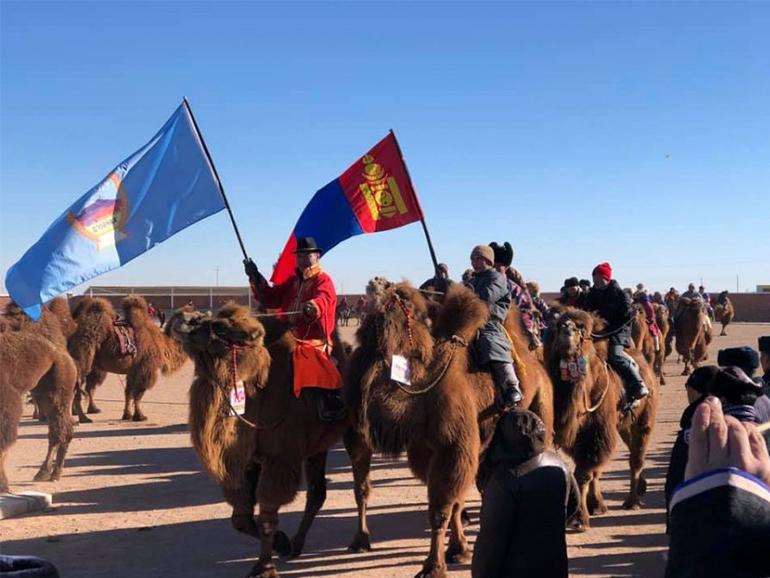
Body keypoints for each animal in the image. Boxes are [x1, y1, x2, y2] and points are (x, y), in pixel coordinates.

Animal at [0, 328, 77, 490]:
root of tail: (62, 353)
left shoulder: (7, 401)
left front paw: (3, 485)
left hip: (59, 382)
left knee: (61, 428)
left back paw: (54, 474)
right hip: (42, 390)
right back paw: (44, 473)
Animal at [177, 302, 348, 576]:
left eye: (220, 327)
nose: (183, 317)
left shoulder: (279, 459)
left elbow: (267, 516)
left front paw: (263, 566)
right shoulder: (247, 460)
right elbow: (241, 520)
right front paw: (282, 543)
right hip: (317, 447)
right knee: (317, 492)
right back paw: (296, 545)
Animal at [344, 276, 552, 572]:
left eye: (404, 300)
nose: (376, 281)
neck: (420, 391)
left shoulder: (455, 446)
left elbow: (441, 509)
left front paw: (434, 565)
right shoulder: (425, 450)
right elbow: (452, 502)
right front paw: (458, 549)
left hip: (541, 403)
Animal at [544, 308, 656, 528]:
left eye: (580, 328)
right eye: (559, 324)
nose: (566, 329)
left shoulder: (597, 431)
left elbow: (584, 473)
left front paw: (578, 519)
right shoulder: (580, 436)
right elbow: (593, 470)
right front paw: (596, 506)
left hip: (644, 420)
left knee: (636, 458)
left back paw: (632, 502)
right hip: (623, 426)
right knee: (631, 450)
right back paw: (641, 487)